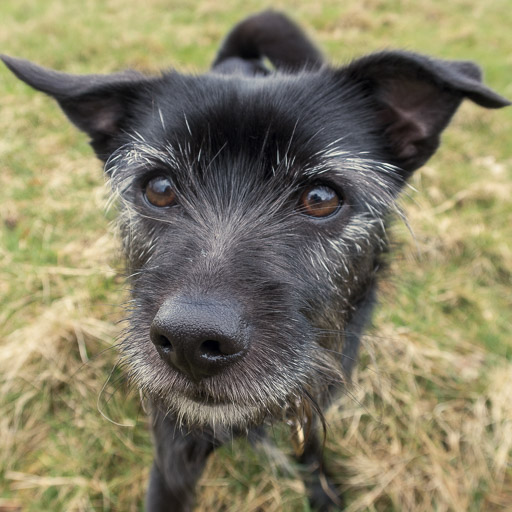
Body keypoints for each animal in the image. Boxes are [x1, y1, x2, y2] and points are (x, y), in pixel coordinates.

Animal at [3, 10, 508, 510]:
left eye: (321, 197)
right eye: (159, 188)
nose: (189, 341)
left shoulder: (317, 394)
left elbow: (312, 449)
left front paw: (322, 492)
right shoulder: (173, 457)